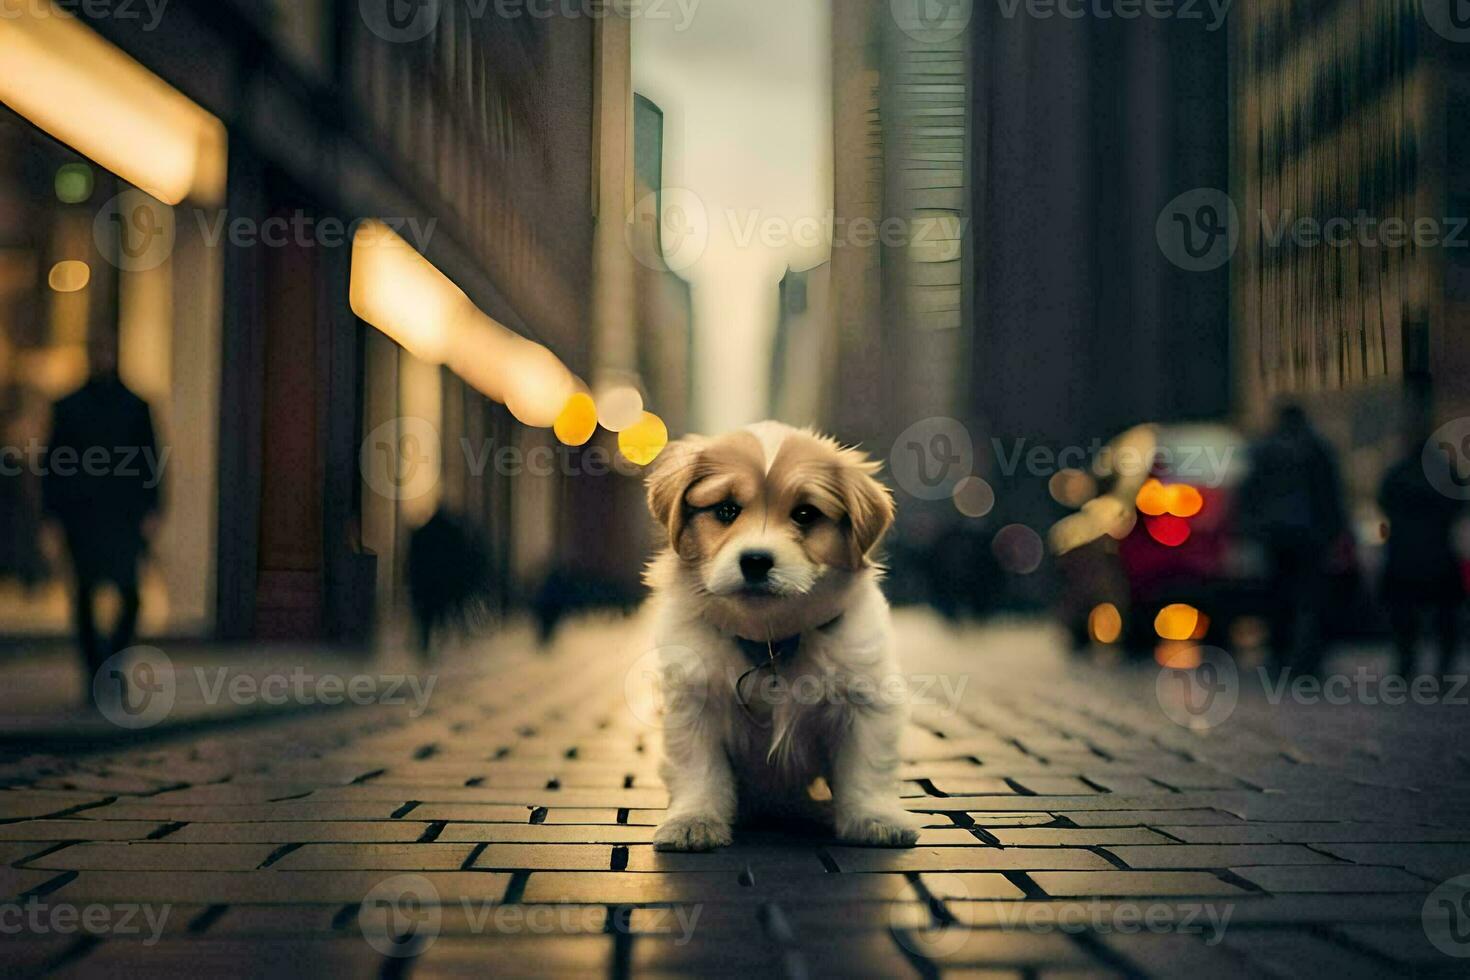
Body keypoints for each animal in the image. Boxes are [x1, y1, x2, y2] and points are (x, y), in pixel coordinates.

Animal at [646, 423, 917, 852]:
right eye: (726, 510)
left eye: (805, 514)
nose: (756, 561)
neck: (769, 638)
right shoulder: (692, 703)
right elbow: (699, 768)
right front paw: (693, 820)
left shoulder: (868, 699)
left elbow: (867, 767)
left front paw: (875, 818)